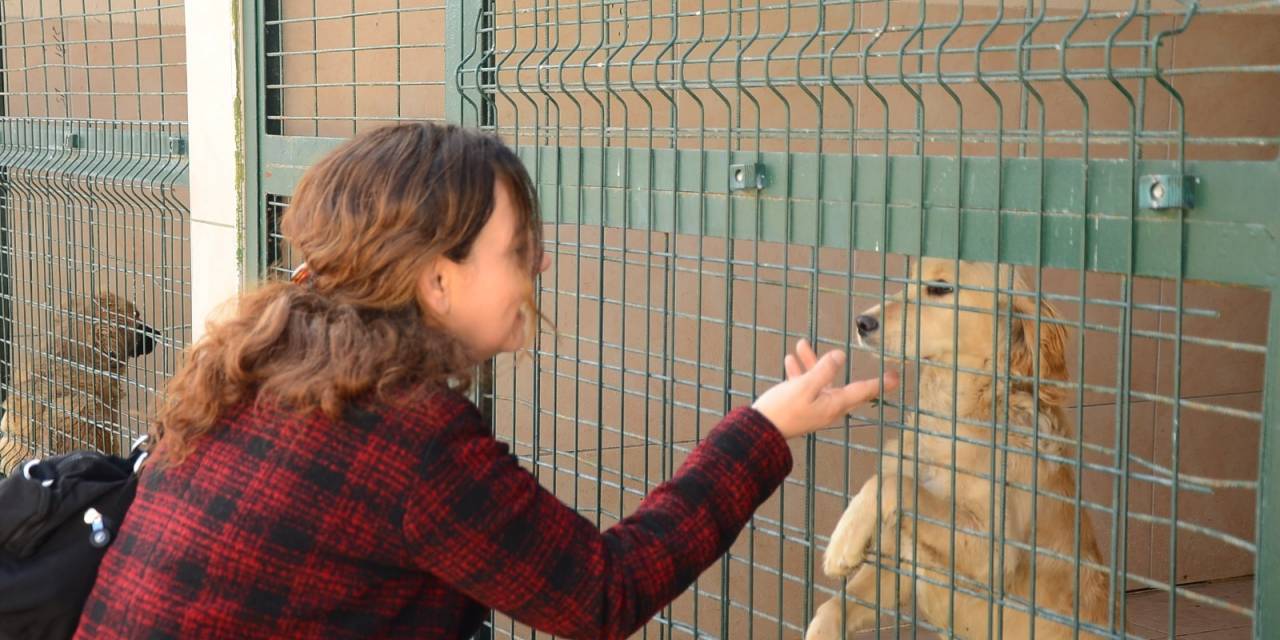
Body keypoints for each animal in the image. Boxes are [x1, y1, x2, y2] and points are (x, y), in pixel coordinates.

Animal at [803, 258, 1116, 640]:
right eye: (909, 281)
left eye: (939, 288)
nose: (862, 322)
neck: (952, 419)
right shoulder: (899, 564)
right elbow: (831, 609)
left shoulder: (993, 553)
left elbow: (893, 482)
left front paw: (843, 543)